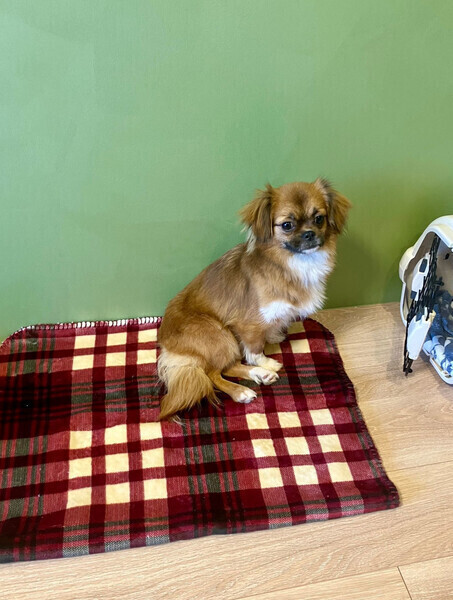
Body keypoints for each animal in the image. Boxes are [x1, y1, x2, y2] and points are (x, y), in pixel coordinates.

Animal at [157, 178, 351, 420]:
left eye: (319, 218)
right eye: (287, 225)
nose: (309, 233)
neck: (293, 263)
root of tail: (166, 343)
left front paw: (274, 336)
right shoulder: (247, 324)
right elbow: (255, 349)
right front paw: (265, 361)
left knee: (227, 367)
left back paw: (260, 375)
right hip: (220, 335)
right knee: (212, 373)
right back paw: (242, 390)